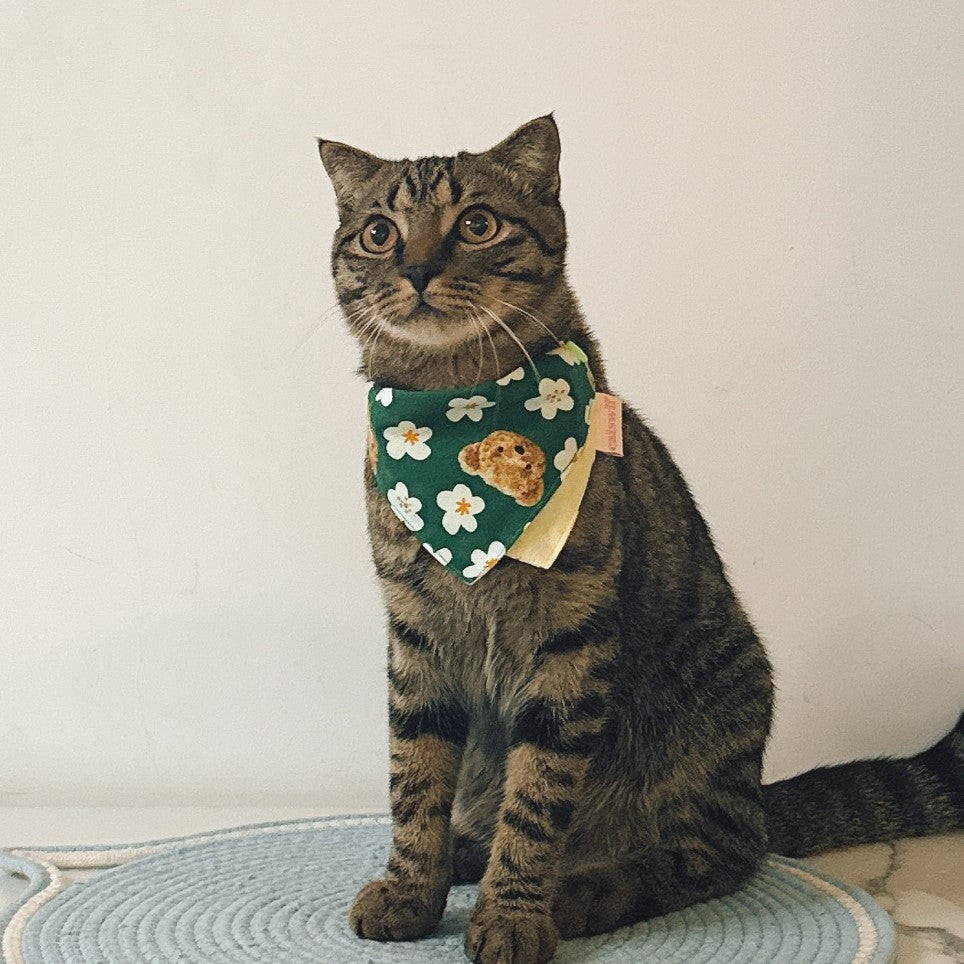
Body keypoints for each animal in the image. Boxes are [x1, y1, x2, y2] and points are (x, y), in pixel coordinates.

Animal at [314, 116, 956, 960]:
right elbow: (414, 774)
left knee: (716, 854)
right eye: (380, 233)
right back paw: (466, 851)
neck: (459, 413)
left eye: (477, 224)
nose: (417, 268)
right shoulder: (416, 632)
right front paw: (412, 887)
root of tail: (758, 794)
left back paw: (582, 890)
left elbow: (537, 797)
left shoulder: (570, 637)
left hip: (711, 718)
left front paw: (514, 914)